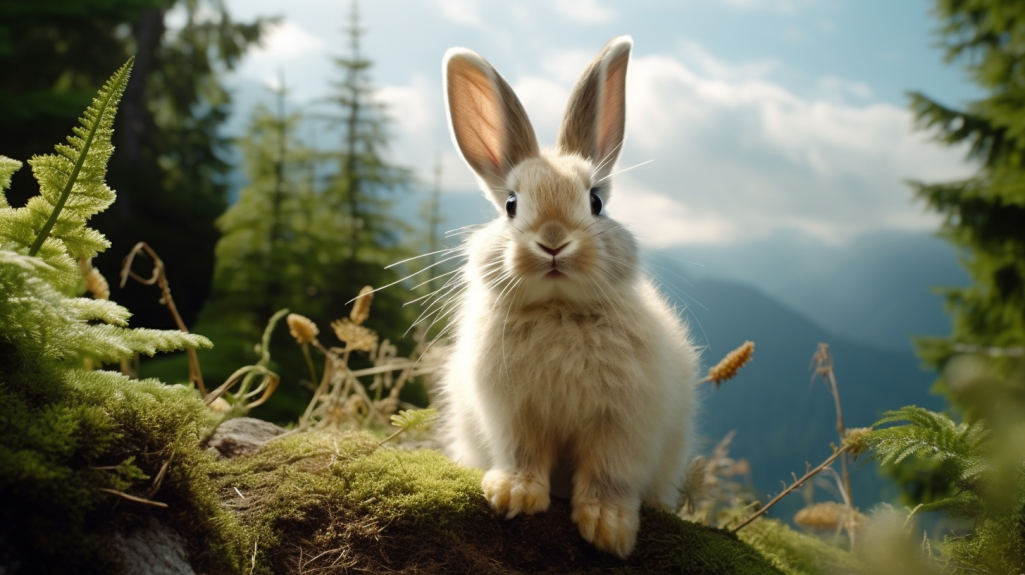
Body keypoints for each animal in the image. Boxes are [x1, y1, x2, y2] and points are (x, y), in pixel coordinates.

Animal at [436, 36, 700, 558]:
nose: (554, 241)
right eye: (511, 205)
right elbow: (523, 455)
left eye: (596, 202)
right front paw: (513, 496)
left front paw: (608, 529)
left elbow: (608, 475)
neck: (559, 309)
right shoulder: (514, 415)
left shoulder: (622, 426)